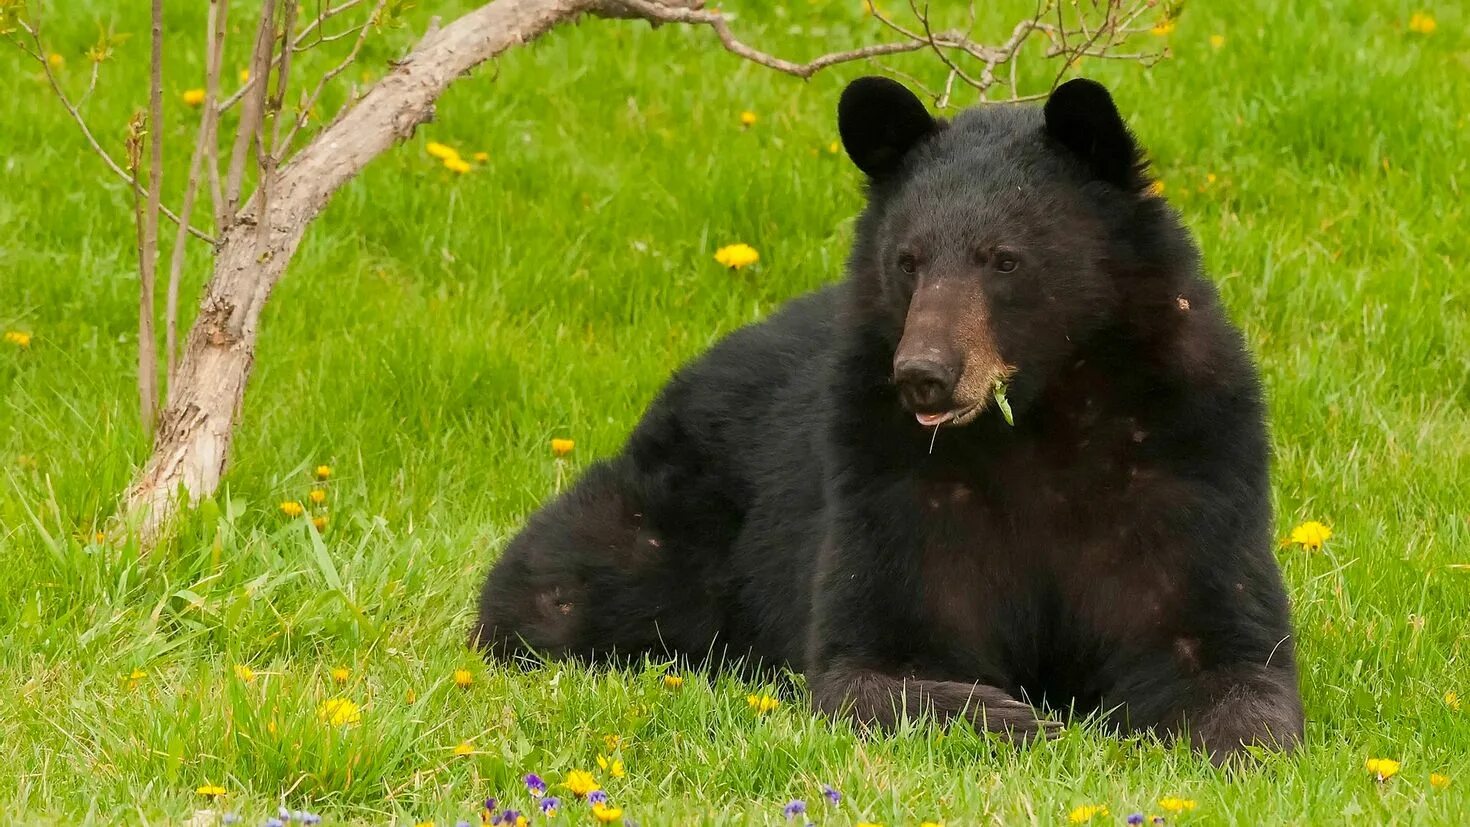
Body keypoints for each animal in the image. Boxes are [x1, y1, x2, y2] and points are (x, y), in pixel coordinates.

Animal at [471, 76, 1304, 763]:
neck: (1038, 420)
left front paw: (1234, 739)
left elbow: (1218, 643)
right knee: (555, 583)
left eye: (1004, 258)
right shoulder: (892, 477)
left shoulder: (1185, 459)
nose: (924, 373)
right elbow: (876, 653)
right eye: (909, 259)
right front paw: (1012, 716)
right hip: (670, 517)